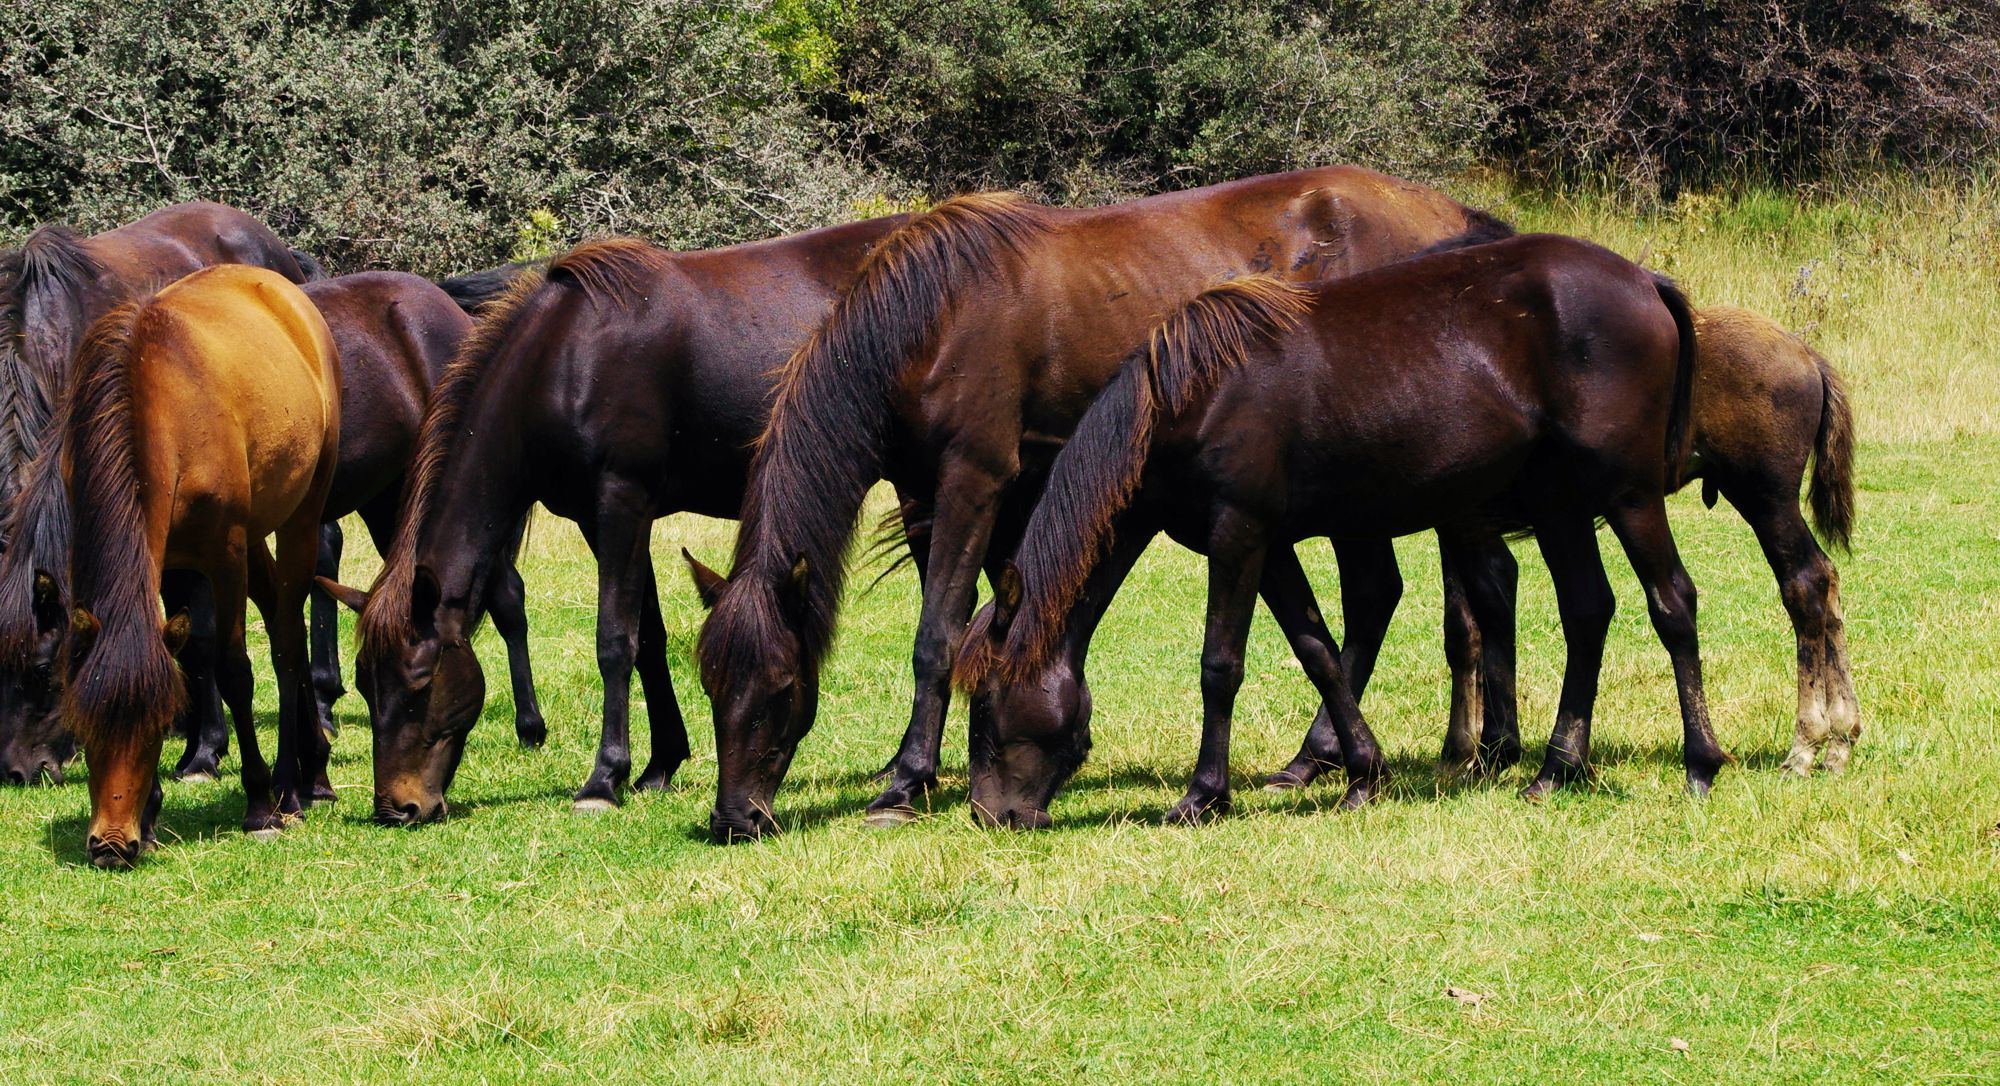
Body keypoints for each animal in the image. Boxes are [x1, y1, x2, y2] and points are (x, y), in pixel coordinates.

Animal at [0, 264, 340, 868]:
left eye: (159, 727)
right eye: (86, 724)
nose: (112, 845)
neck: (155, 405)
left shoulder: (224, 555)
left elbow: (234, 670)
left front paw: (259, 806)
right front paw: (151, 813)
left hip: (298, 519)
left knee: (284, 643)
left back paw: (293, 787)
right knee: (280, 618)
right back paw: (312, 770)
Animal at [322, 223, 908, 832]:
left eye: (419, 683)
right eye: (365, 684)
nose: (396, 807)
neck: (568, 358)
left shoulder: (622, 502)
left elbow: (613, 641)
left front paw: (604, 779)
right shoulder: (599, 516)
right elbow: (648, 637)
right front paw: (659, 764)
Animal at [688, 166, 1512, 840]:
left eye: (781, 690)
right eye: (710, 685)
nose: (735, 819)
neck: (934, 320)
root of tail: (1450, 214)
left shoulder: (975, 479)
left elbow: (937, 635)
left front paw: (904, 786)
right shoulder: (929, 492)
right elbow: (972, 623)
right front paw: (925, 763)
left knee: (1414, 592)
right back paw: (1390, 755)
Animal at [952, 234, 1720, 828]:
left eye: (986, 706)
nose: (991, 814)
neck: (1191, 398)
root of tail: (1644, 282)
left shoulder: (1239, 535)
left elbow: (1220, 665)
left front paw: (1203, 796)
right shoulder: (1270, 547)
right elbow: (1318, 650)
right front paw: (1361, 774)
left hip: (1627, 495)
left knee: (1671, 604)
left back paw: (1700, 763)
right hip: (1558, 504)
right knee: (1587, 610)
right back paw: (1558, 769)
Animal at [1264, 306, 1856, 792]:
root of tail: (1804, 354)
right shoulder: (1464, 527)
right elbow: (1472, 624)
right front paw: (1472, 751)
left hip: (1762, 496)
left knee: (1802, 585)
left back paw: (1805, 746)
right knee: (1824, 579)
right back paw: (1840, 742)